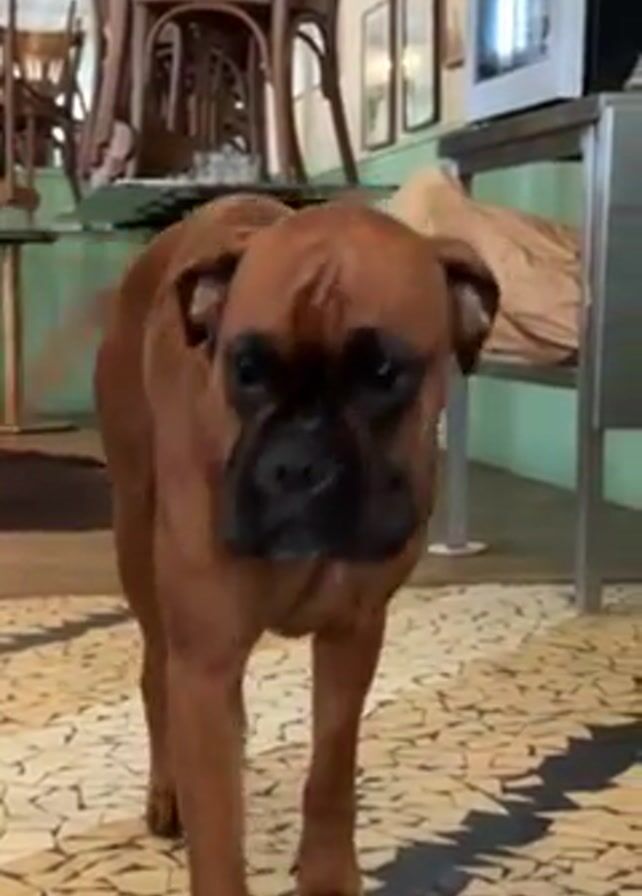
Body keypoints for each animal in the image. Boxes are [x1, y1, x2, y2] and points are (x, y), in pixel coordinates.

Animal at [94, 193, 499, 896]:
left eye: (384, 373)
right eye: (246, 370)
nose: (296, 464)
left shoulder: (352, 637)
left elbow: (331, 769)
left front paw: (328, 871)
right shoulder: (205, 661)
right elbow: (218, 840)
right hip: (136, 541)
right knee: (155, 679)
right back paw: (169, 789)